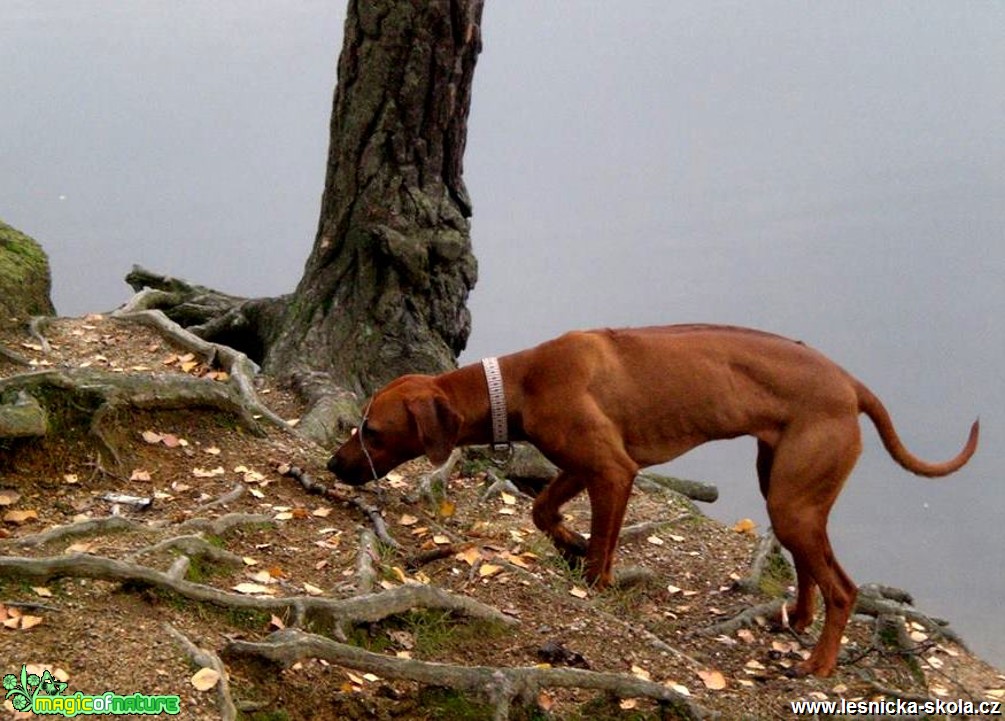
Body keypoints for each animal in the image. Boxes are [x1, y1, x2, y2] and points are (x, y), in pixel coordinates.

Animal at [329, 325, 980, 675]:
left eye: (373, 430)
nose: (334, 464)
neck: (517, 383)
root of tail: (850, 384)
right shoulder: (583, 465)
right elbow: (543, 511)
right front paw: (570, 543)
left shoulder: (613, 471)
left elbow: (600, 553)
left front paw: (592, 575)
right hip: (784, 488)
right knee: (813, 570)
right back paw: (796, 619)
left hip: (794, 499)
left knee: (844, 587)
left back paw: (818, 665)